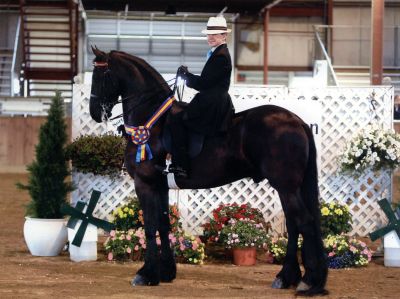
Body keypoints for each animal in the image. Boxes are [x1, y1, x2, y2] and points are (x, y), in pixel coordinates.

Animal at [89, 48, 326, 296]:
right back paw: (287, 277)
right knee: (294, 224)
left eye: (100, 75)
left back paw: (309, 282)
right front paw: (166, 272)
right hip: (289, 187)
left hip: (285, 186)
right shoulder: (160, 186)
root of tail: (296, 121)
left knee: (304, 222)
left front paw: (146, 274)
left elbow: (150, 225)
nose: (95, 113)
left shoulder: (144, 183)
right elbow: (163, 224)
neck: (151, 121)